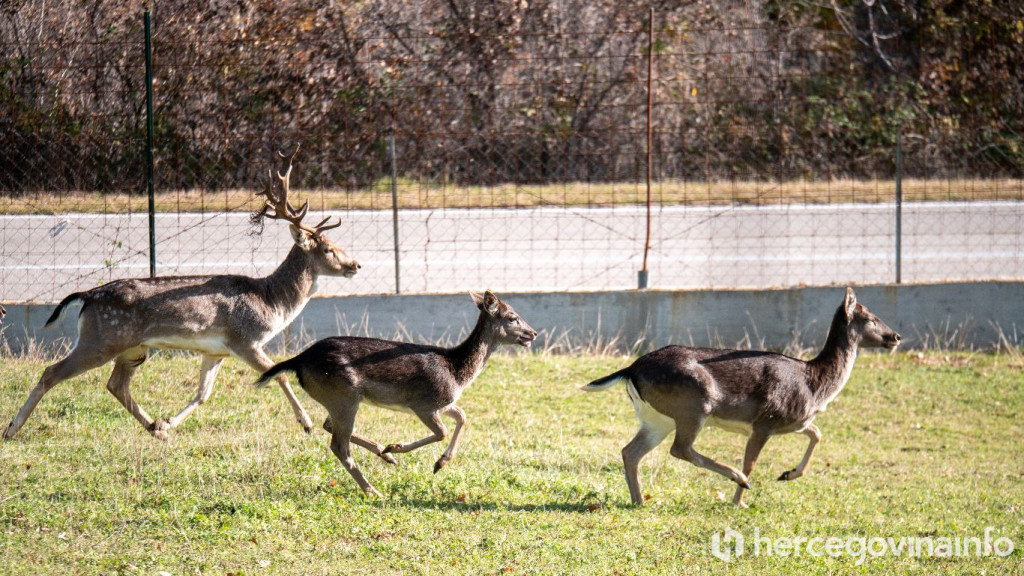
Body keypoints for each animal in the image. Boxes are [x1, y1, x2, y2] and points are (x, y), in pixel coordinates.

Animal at [3, 146, 360, 438]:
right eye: (328, 248)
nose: (355, 264)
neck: (271, 302)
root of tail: (88, 296)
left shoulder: (216, 350)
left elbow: (203, 394)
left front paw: (169, 423)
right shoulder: (245, 339)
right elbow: (281, 377)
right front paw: (307, 424)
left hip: (132, 347)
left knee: (116, 384)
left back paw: (155, 428)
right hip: (100, 339)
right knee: (52, 372)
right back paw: (12, 428)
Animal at [253, 289, 536, 496]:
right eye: (512, 317)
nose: (532, 333)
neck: (456, 372)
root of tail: (297, 361)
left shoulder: (443, 403)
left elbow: (463, 416)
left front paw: (438, 462)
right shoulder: (424, 403)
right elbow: (443, 431)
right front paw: (401, 448)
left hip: (335, 397)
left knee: (327, 425)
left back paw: (384, 455)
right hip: (344, 394)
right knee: (338, 445)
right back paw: (373, 490)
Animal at [581, 284, 901, 504]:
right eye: (872, 319)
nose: (895, 337)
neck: (814, 383)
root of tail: (631, 369)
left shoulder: (795, 422)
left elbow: (817, 433)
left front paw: (788, 474)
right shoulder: (765, 421)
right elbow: (752, 461)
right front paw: (740, 500)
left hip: (656, 418)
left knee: (630, 451)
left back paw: (638, 500)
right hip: (693, 404)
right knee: (680, 449)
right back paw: (739, 479)